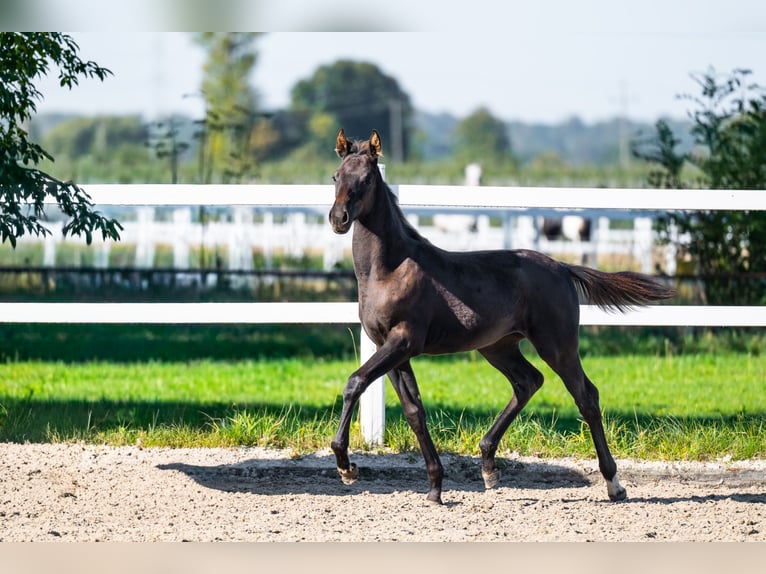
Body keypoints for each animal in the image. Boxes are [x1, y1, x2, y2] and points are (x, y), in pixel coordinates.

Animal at [328, 128, 675, 505]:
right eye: (335, 177)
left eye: (366, 179)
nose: (338, 219)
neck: (389, 270)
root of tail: (562, 268)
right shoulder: (389, 348)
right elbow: (414, 411)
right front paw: (434, 487)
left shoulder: (402, 342)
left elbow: (355, 383)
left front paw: (346, 466)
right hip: (498, 346)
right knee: (528, 382)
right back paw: (489, 466)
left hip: (557, 345)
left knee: (586, 396)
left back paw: (614, 484)